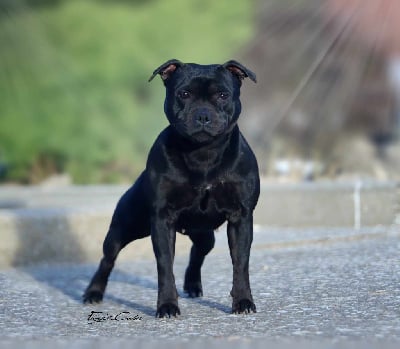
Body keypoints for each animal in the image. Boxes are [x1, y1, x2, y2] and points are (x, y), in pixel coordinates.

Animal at [83, 59, 260, 316]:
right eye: (184, 94)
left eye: (223, 95)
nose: (203, 115)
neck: (203, 154)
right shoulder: (162, 219)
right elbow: (165, 265)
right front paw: (167, 305)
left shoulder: (240, 217)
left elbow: (241, 263)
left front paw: (243, 301)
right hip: (122, 229)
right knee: (108, 259)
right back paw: (93, 292)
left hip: (203, 233)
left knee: (199, 252)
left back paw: (193, 285)